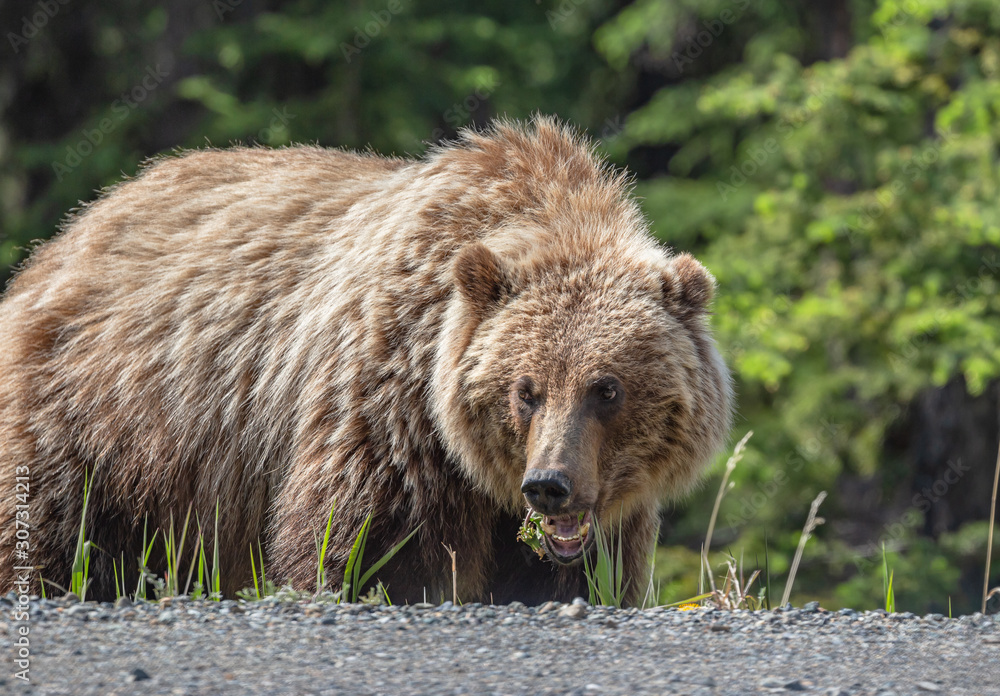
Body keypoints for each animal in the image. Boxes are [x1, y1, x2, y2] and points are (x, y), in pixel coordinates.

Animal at [0, 117, 732, 605]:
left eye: (607, 388)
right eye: (525, 389)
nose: (550, 484)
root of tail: (69, 233)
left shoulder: (602, 511)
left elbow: (584, 574)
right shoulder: (391, 412)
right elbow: (366, 549)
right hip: (97, 421)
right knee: (45, 528)